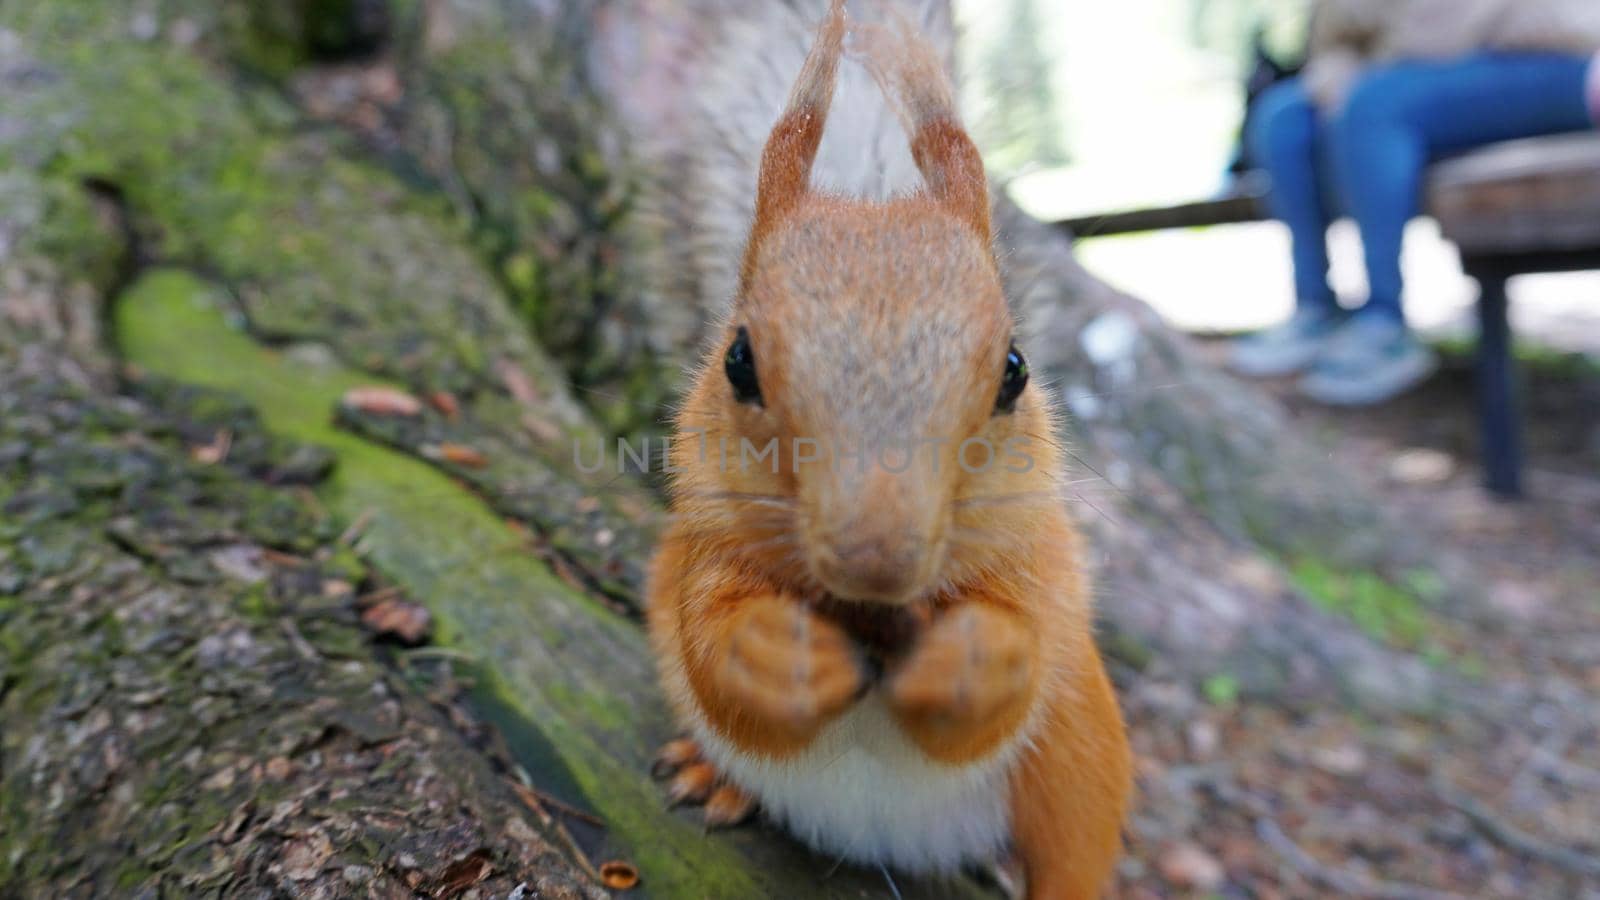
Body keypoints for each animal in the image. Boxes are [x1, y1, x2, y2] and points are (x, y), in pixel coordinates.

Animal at [643, 3, 1132, 890]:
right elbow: (716, 656)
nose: (876, 557)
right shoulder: (700, 554)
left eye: (1014, 371)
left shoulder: (1041, 573)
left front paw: (962, 659)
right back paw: (715, 777)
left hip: (1078, 771)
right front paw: (780, 652)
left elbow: (1005, 678)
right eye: (738, 361)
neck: (870, 617)